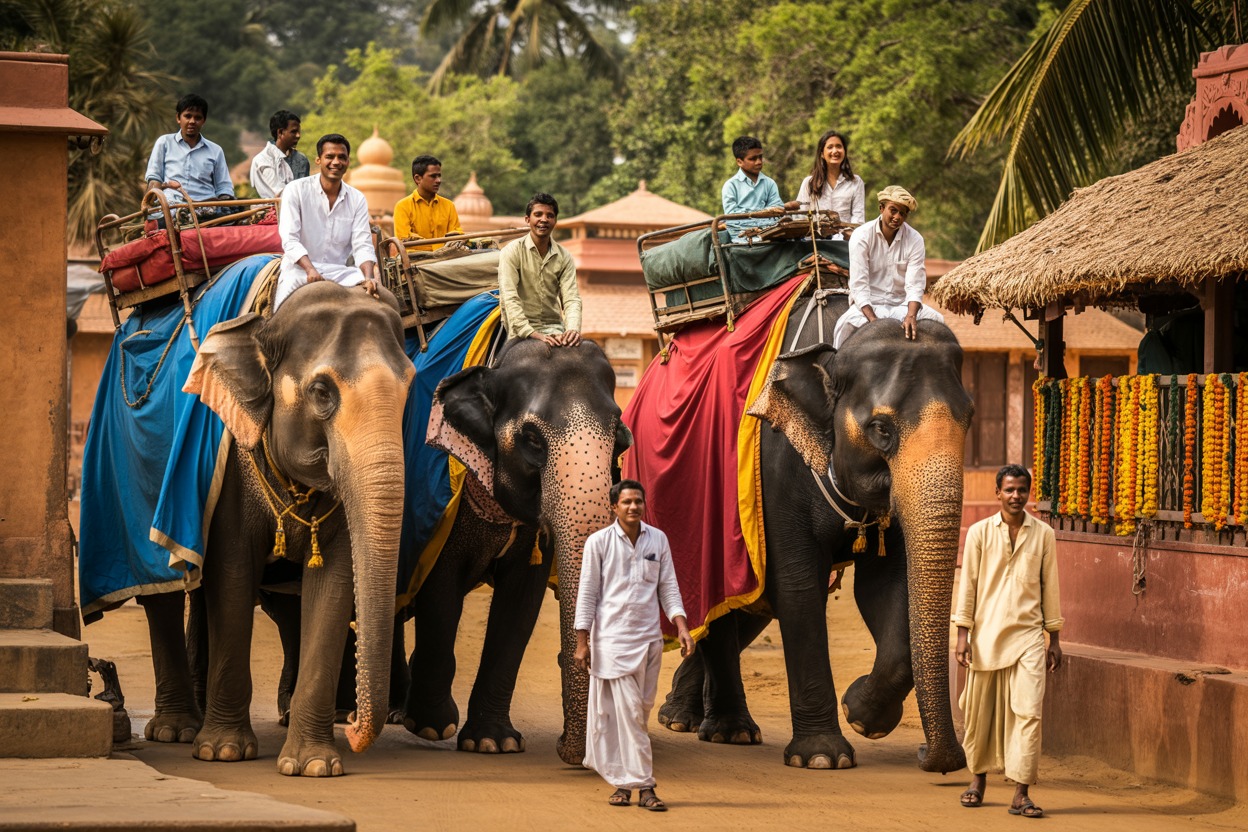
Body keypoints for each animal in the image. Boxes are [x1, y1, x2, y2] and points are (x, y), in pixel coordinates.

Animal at [140, 281, 414, 776]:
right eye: (322, 392)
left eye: (410, 387)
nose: (353, 728)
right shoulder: (229, 460)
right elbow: (232, 572)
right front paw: (223, 752)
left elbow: (333, 582)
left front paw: (314, 765)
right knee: (163, 595)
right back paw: (178, 730)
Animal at [401, 337, 629, 764]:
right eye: (533, 439)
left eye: (620, 437)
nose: (565, 749)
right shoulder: (443, 513)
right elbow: (440, 593)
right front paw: (432, 725)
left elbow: (521, 602)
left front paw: (494, 743)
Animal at [655, 295, 972, 774]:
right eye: (881, 429)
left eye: (969, 419)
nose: (938, 759)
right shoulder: (776, 468)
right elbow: (799, 586)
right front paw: (823, 757)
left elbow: (886, 587)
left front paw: (861, 714)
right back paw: (727, 730)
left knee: (746, 607)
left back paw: (686, 717)